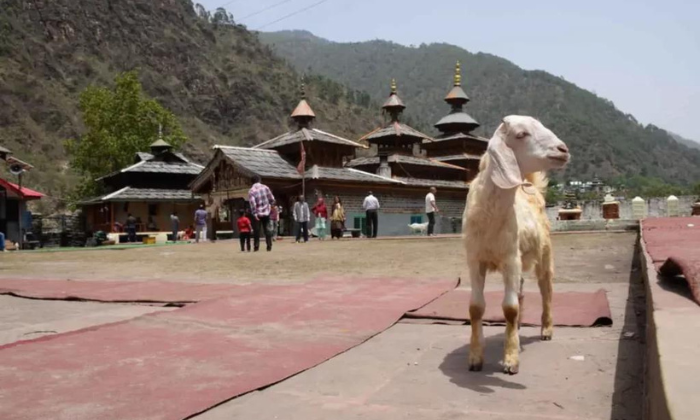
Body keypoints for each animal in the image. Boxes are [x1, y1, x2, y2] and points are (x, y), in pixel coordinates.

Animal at [464, 114, 568, 374]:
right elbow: (476, 307)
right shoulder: (475, 259)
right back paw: (518, 329)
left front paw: (511, 361)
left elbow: (509, 308)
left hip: (544, 255)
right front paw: (475, 358)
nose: (563, 150)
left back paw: (546, 330)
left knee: (546, 289)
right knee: (521, 293)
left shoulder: (510, 258)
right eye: (521, 134)